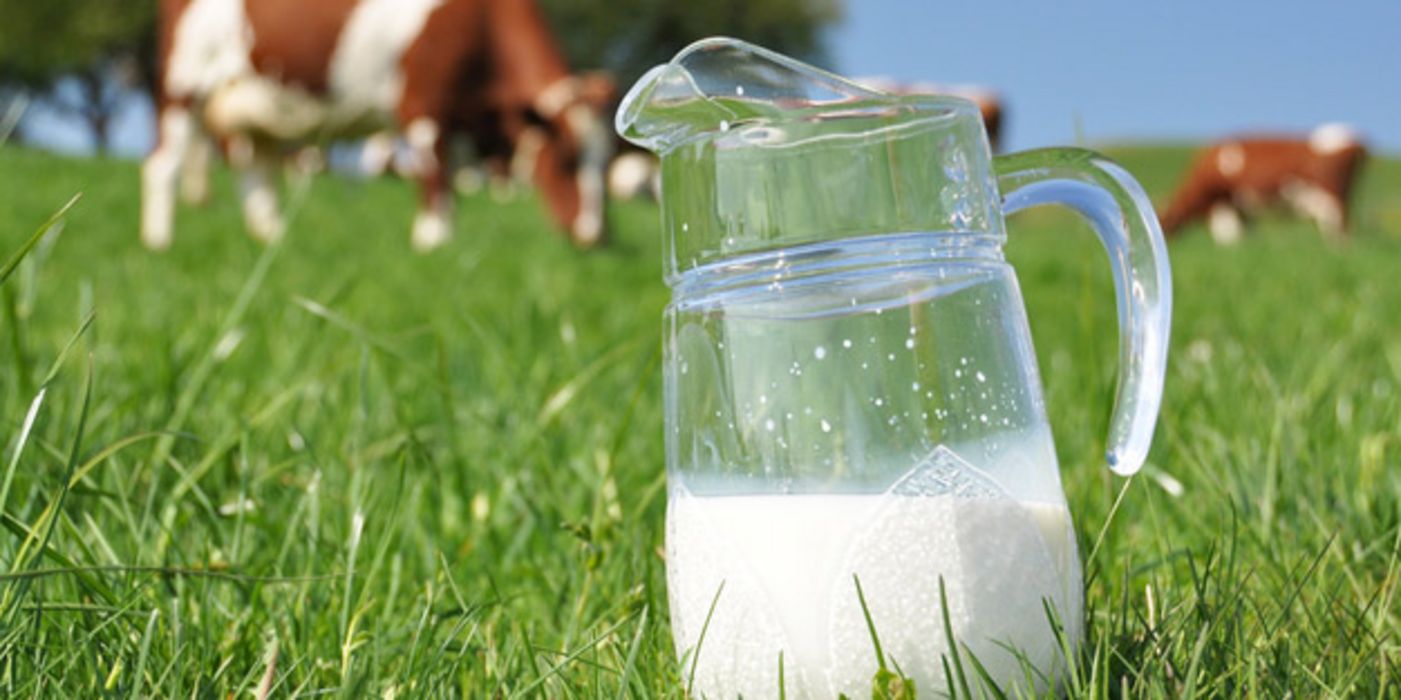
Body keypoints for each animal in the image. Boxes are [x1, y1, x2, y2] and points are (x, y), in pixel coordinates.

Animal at [140, 0, 613, 252]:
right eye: (567, 162)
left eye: (605, 163)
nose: (596, 237)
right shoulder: (424, 106)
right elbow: (436, 180)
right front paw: (434, 243)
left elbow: (450, 187)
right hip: (184, 84)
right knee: (162, 167)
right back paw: (160, 243)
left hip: (258, 107)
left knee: (257, 177)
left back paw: (274, 241)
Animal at [1160, 124, 1367, 245]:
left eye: (1165, 222)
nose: (1167, 241)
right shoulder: (1242, 210)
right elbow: (1245, 235)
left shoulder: (1223, 204)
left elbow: (1227, 236)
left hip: (1332, 196)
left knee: (1340, 227)